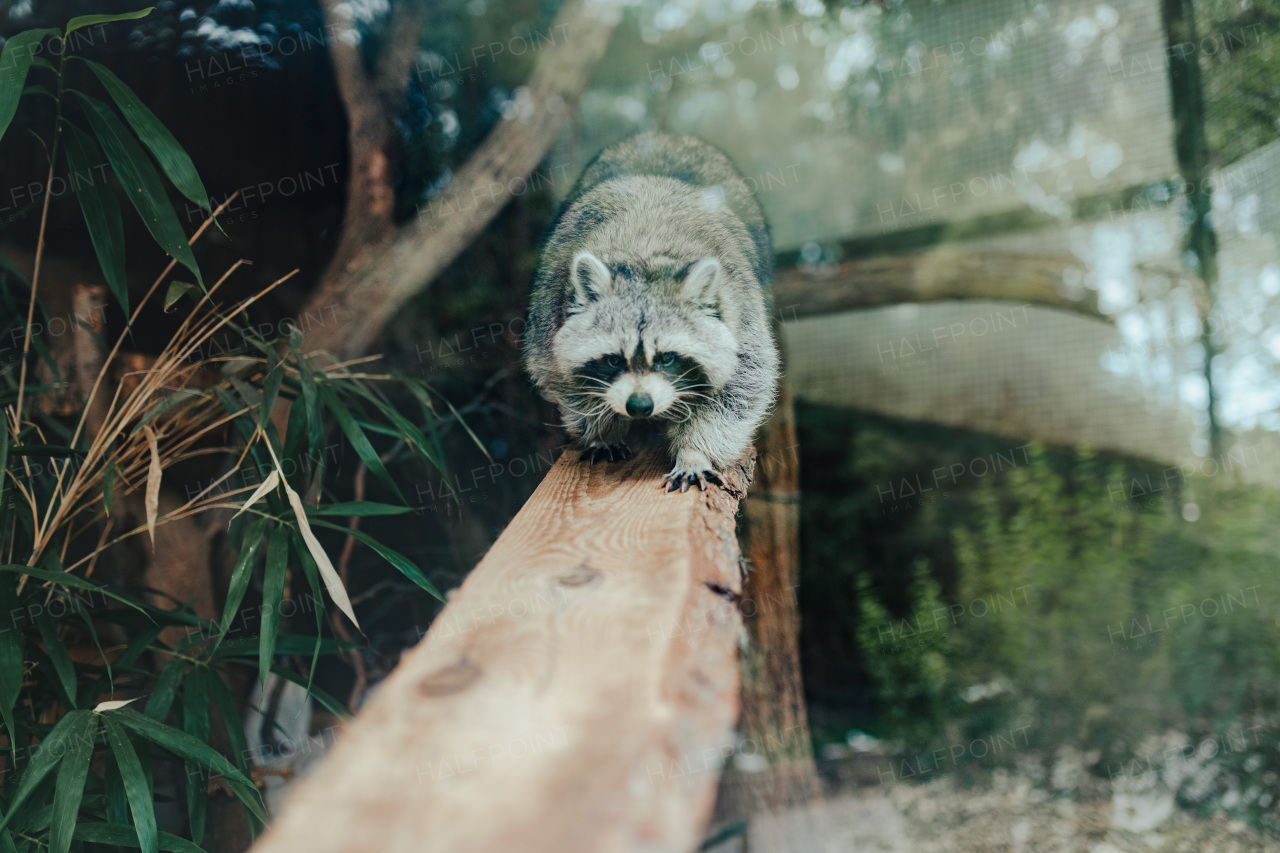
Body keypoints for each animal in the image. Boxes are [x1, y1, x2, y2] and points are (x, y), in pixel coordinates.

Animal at [519, 133, 778, 491]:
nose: (639, 406)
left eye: (667, 357)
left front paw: (695, 451)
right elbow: (567, 383)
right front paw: (603, 431)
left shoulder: (742, 315)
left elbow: (740, 390)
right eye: (614, 360)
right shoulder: (547, 317)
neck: (643, 256)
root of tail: (663, 136)